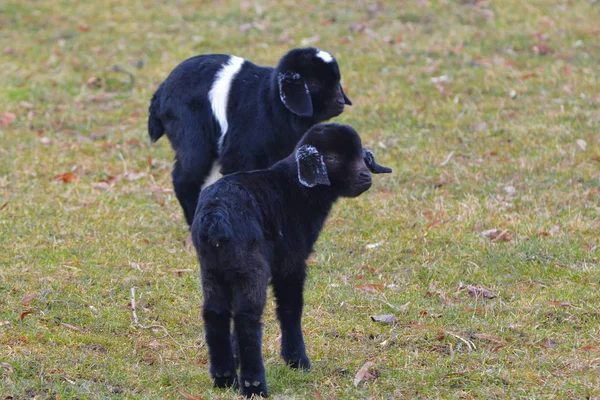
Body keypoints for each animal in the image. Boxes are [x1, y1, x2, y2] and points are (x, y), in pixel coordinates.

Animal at [148, 47, 352, 225]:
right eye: (314, 83)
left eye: (337, 80)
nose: (340, 102)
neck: (271, 101)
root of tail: (160, 93)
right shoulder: (240, 153)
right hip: (194, 140)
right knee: (185, 178)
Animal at [190, 123, 392, 398]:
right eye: (331, 157)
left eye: (360, 154)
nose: (365, 177)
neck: (296, 189)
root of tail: (215, 216)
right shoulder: (291, 262)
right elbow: (290, 308)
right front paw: (296, 360)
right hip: (249, 266)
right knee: (246, 318)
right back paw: (254, 384)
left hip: (212, 268)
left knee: (214, 314)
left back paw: (224, 378)